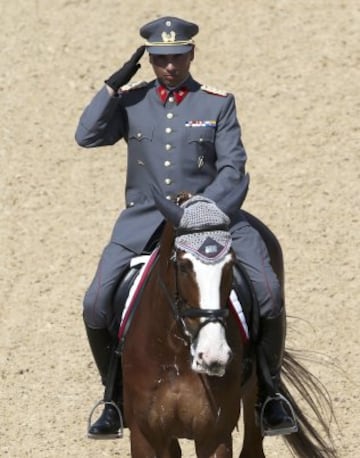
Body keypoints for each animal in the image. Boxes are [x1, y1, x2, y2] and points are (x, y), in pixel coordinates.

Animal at [121, 188, 338, 456]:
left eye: (231, 264)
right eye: (183, 266)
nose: (213, 356)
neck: (174, 352)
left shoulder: (215, 436)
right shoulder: (145, 437)